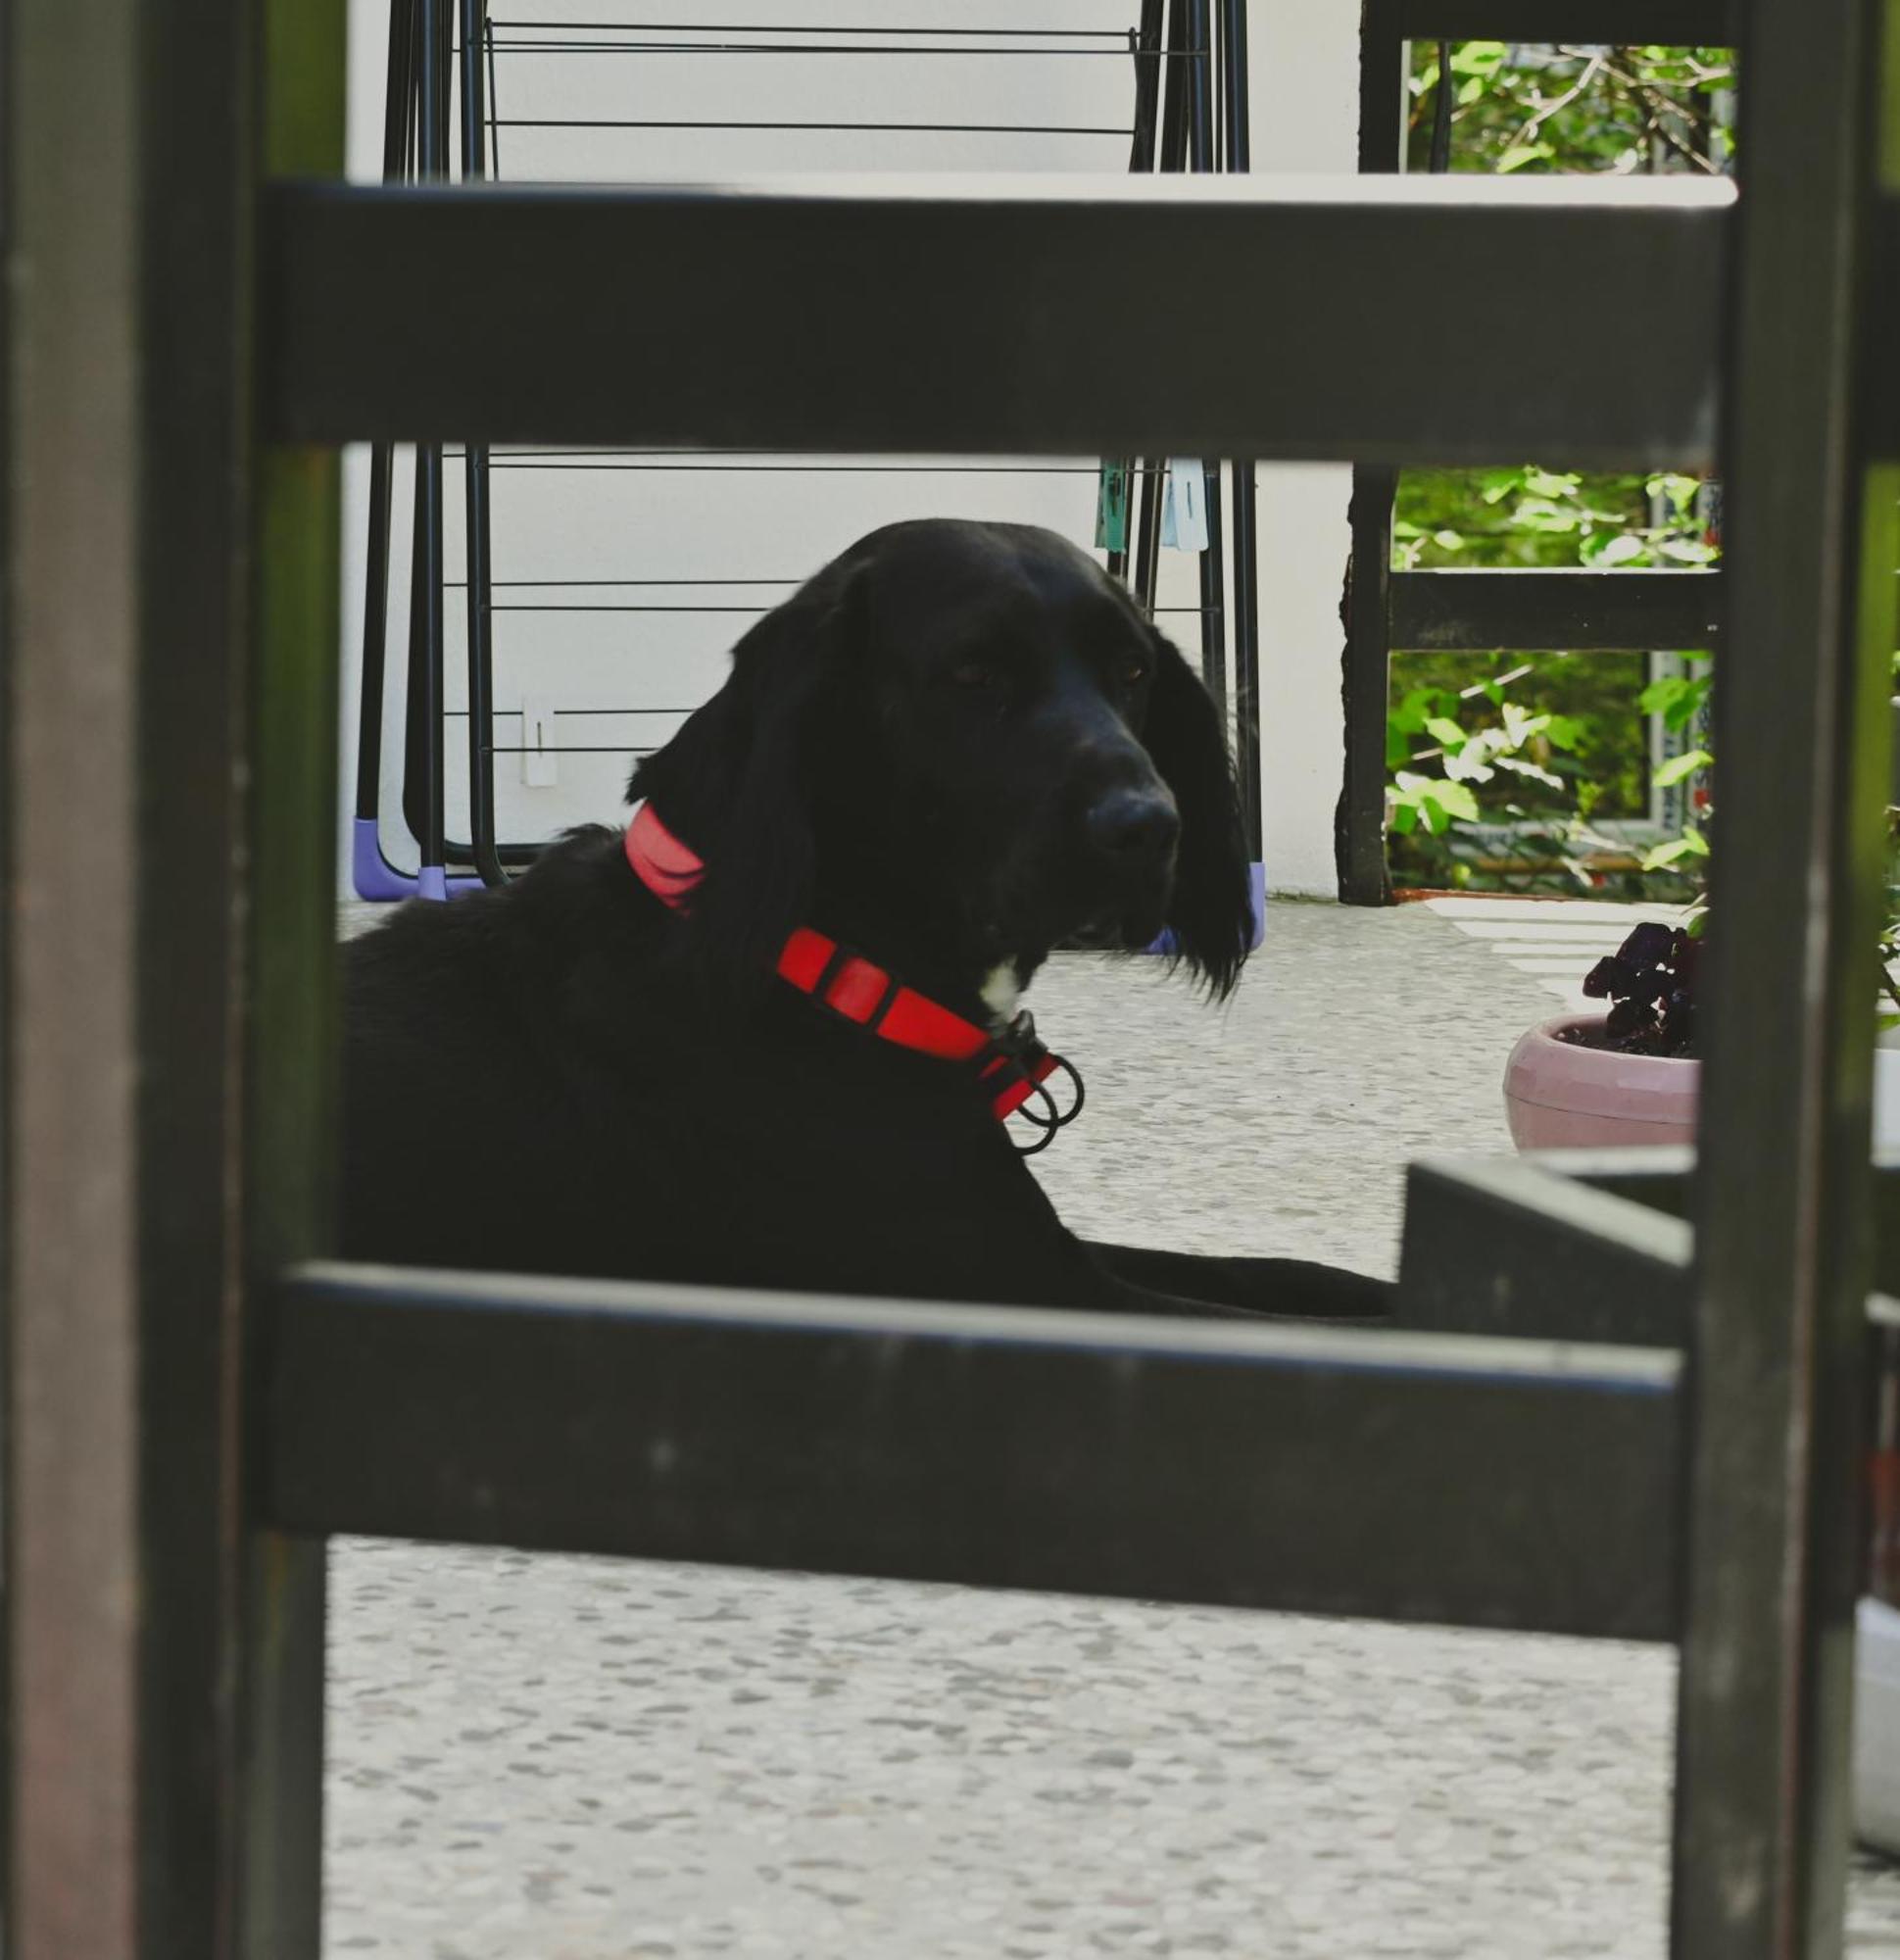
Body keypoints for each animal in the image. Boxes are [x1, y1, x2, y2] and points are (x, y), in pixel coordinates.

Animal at [340, 514, 1387, 1325]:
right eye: (972, 675)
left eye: (1131, 670)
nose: (1149, 826)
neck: (822, 968)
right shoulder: (1025, 1286)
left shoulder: (1041, 1248)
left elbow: (1296, 1276)